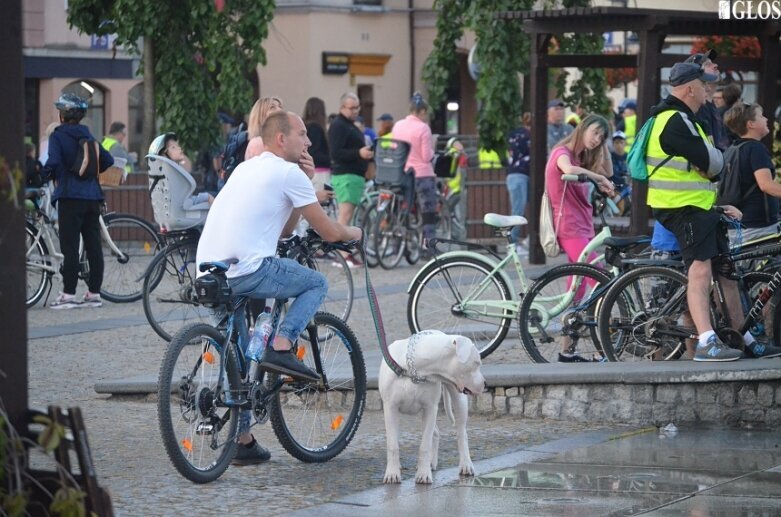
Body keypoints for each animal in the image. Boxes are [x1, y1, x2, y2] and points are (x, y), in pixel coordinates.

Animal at [380, 330, 484, 484]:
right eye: (477, 363)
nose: (485, 383)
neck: (413, 370)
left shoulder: (430, 409)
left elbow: (425, 445)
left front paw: (423, 474)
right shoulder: (390, 408)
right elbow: (392, 444)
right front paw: (392, 473)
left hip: (458, 400)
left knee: (461, 433)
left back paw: (465, 464)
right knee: (434, 432)